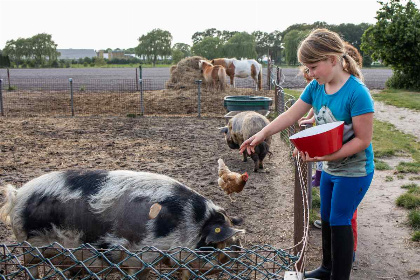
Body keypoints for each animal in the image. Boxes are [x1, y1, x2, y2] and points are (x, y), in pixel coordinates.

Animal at [0, 170, 244, 278]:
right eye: (226, 242)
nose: (239, 252)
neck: (190, 222)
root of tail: (18, 194)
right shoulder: (140, 253)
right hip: (30, 245)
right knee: (32, 267)